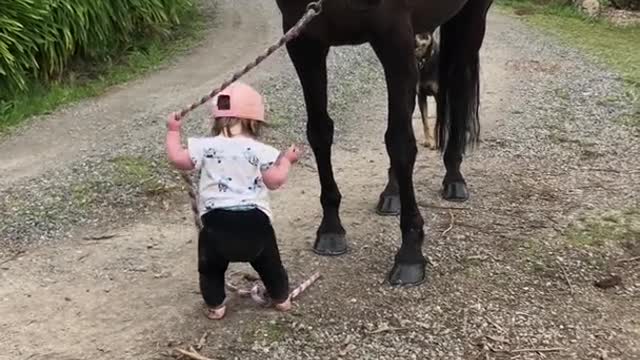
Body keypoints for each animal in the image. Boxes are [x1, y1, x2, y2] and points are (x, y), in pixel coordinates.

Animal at [274, 0, 490, 286]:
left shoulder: (394, 36)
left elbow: (400, 143)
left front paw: (410, 253)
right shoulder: (305, 41)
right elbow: (320, 132)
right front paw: (331, 229)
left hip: (471, 18)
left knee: (459, 90)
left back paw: (454, 179)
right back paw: (392, 193)